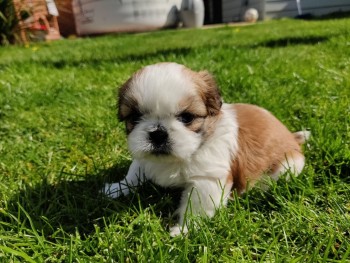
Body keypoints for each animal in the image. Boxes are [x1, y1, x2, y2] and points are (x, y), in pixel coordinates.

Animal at [103, 62, 308, 237]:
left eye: (187, 117)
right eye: (135, 117)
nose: (158, 133)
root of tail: (292, 138)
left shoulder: (207, 178)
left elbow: (197, 207)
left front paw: (184, 230)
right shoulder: (144, 157)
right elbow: (134, 172)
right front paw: (118, 188)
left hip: (290, 165)